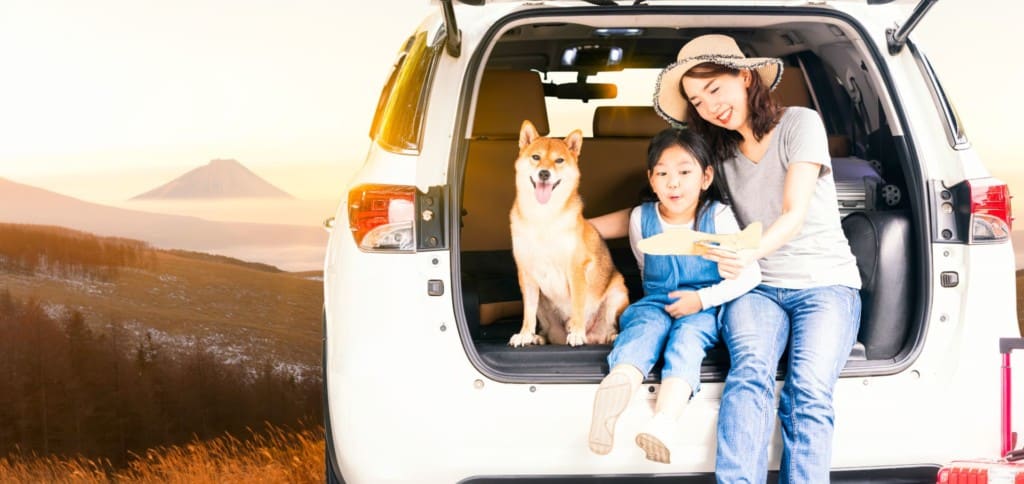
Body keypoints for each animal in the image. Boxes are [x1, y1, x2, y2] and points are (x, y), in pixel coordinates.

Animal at [507, 120, 626, 347]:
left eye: (559, 160)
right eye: (536, 157)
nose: (544, 173)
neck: (543, 217)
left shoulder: (576, 269)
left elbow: (578, 306)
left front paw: (577, 332)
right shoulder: (526, 273)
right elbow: (528, 312)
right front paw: (525, 334)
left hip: (617, 294)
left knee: (609, 328)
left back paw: (609, 336)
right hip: (544, 305)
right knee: (549, 332)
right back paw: (538, 338)